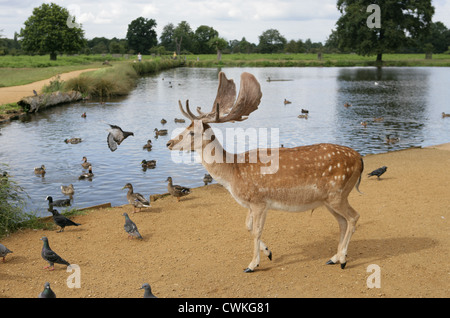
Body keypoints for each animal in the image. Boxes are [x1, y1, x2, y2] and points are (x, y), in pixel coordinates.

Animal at [167, 72, 364, 274]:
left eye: (192, 132)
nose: (169, 143)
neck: (232, 173)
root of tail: (359, 158)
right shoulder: (251, 204)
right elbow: (247, 226)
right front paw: (269, 253)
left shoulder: (259, 201)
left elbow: (256, 231)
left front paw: (252, 264)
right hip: (328, 200)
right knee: (342, 222)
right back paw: (334, 258)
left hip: (338, 194)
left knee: (354, 217)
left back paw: (343, 259)